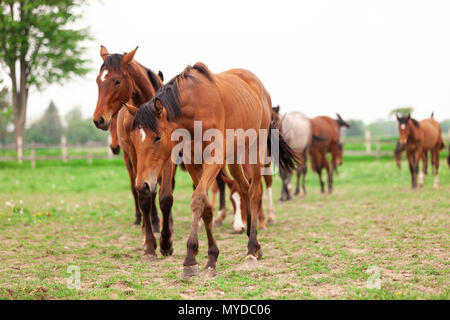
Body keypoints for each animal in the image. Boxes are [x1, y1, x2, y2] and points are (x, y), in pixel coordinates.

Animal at [92, 45, 176, 258]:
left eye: (117, 81)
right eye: (98, 80)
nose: (98, 119)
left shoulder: (167, 157)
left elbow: (165, 197)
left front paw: (166, 242)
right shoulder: (135, 155)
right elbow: (144, 196)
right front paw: (149, 242)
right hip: (130, 162)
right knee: (137, 189)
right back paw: (144, 222)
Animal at [126, 62, 298, 278]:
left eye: (157, 137)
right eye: (133, 140)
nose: (143, 185)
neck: (194, 108)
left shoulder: (214, 159)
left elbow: (198, 199)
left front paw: (190, 259)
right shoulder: (192, 161)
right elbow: (206, 206)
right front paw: (210, 258)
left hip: (255, 151)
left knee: (255, 192)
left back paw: (251, 250)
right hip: (235, 158)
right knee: (244, 188)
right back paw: (254, 243)